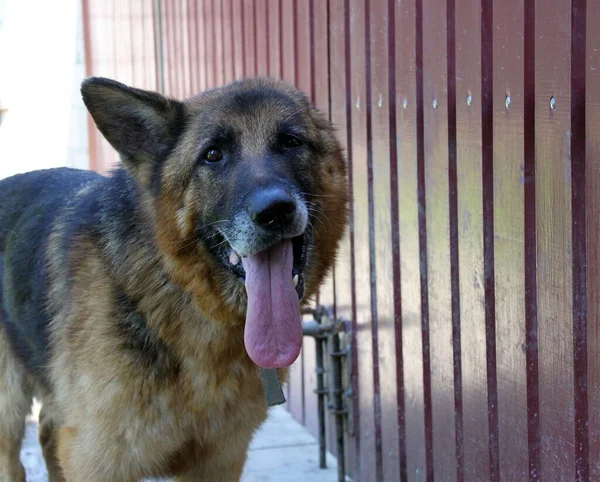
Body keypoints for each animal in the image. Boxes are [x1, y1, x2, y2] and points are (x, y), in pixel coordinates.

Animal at [0, 77, 346, 480]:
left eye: (291, 141)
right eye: (212, 155)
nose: (274, 212)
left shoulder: (218, 461)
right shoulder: (96, 461)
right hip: (8, 412)